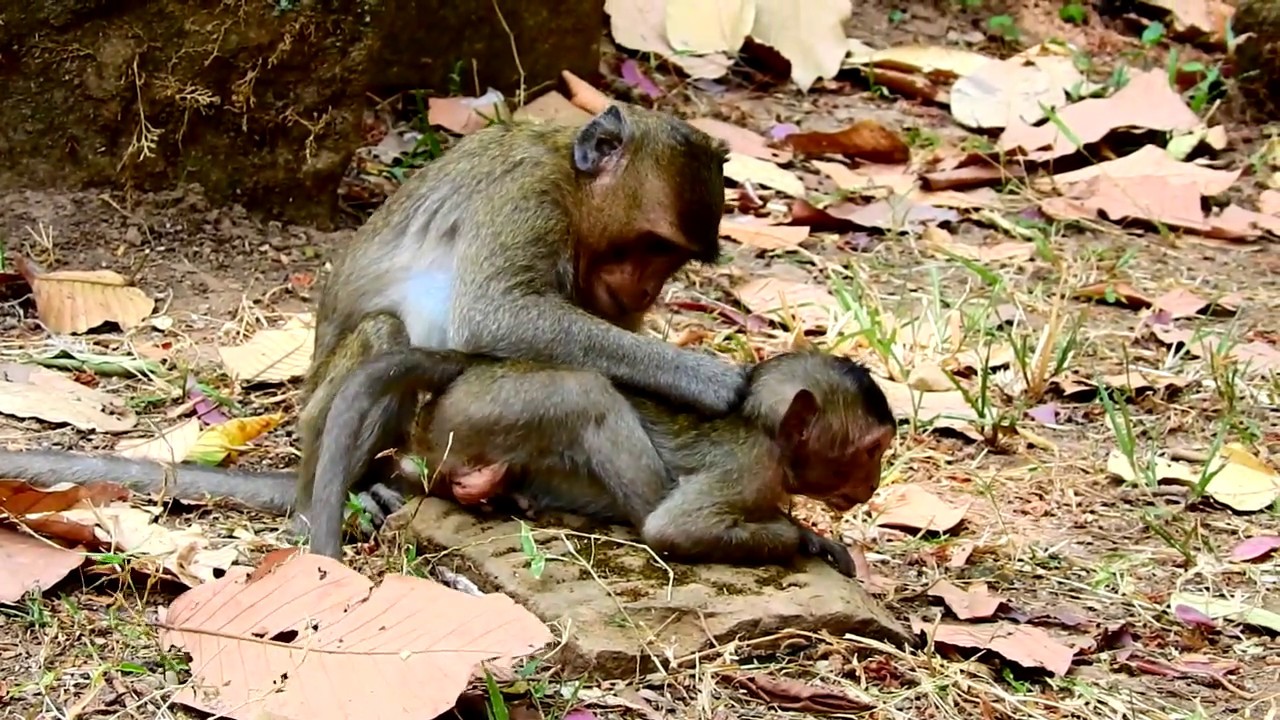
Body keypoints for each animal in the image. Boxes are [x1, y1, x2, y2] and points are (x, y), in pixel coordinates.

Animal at [0, 104, 745, 546]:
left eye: (673, 259)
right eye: (650, 247)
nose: (647, 286)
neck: (569, 171)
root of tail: (300, 469)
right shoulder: (527, 197)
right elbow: (494, 313)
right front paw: (710, 381)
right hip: (322, 426)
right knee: (386, 337)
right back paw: (348, 496)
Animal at [309, 345, 897, 573]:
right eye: (873, 450)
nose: (872, 486)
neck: (763, 430)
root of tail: (469, 365)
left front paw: (815, 537)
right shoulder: (749, 468)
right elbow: (671, 529)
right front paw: (797, 538)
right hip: (488, 408)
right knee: (586, 393)